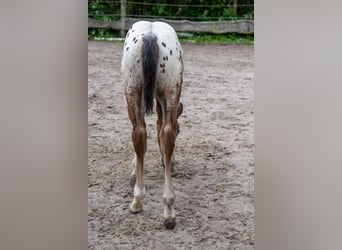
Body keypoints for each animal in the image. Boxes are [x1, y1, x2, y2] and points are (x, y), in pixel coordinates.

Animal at [121, 21, 183, 229]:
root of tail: (151, 35)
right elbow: (159, 127)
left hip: (133, 93)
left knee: (142, 133)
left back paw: (139, 201)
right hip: (165, 92)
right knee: (159, 134)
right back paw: (168, 210)